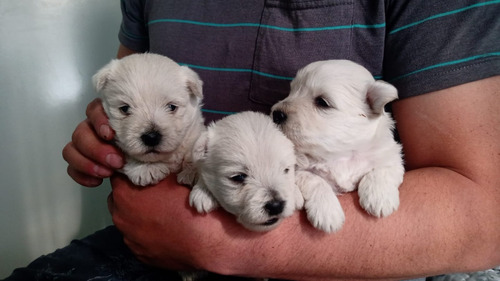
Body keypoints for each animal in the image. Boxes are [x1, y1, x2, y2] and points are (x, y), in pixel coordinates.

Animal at [272, 60, 404, 233]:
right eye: (291, 91)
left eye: (322, 102)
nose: (275, 114)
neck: (340, 153)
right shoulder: (299, 170)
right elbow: (314, 179)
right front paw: (328, 213)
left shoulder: (392, 157)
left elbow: (381, 171)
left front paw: (379, 198)